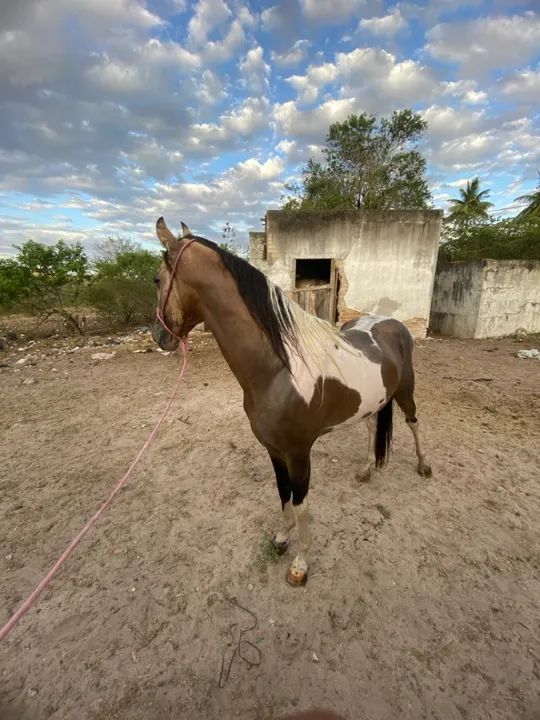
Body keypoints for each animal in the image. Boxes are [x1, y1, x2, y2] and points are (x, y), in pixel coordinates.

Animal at [152, 217, 432, 587]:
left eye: (157, 279)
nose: (159, 336)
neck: (279, 368)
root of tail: (392, 323)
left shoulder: (298, 453)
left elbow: (301, 504)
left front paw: (301, 564)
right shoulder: (274, 449)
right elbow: (283, 493)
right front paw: (282, 539)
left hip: (405, 391)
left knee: (414, 423)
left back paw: (424, 466)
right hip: (374, 400)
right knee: (373, 425)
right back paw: (367, 468)